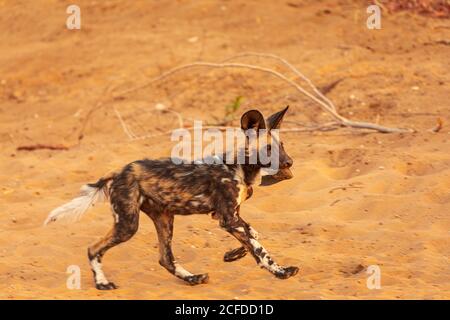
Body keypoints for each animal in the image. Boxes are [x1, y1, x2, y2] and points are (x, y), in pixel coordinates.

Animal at [44, 106, 298, 288]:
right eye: (268, 149)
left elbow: (253, 235)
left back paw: (193, 279)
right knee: (94, 248)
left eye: (283, 146)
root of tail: (119, 171)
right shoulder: (228, 219)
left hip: (163, 219)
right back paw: (102, 284)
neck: (240, 168)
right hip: (128, 225)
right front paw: (281, 272)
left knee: (165, 258)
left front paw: (233, 255)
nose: (289, 163)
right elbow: (260, 249)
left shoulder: (227, 217)